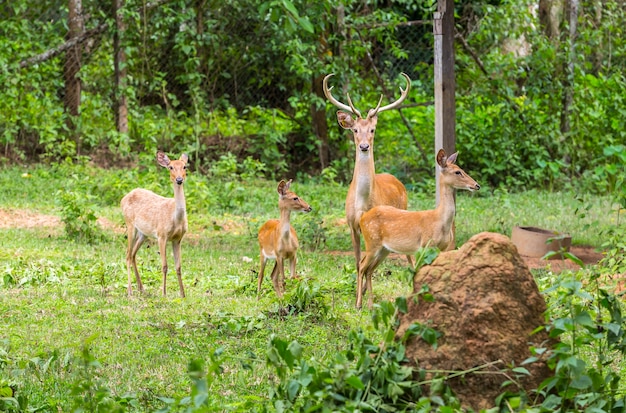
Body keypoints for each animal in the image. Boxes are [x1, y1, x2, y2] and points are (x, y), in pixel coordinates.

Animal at [119, 150, 188, 296]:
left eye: (185, 166)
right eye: (170, 167)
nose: (179, 180)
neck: (175, 218)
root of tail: (123, 198)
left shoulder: (178, 239)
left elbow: (178, 267)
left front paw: (183, 294)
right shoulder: (161, 235)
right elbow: (164, 266)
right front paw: (164, 293)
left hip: (143, 233)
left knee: (133, 254)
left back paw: (142, 288)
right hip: (130, 224)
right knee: (127, 254)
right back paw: (130, 291)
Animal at [322, 72, 414, 274]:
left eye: (372, 129)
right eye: (355, 130)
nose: (364, 146)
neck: (362, 203)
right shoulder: (351, 224)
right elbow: (358, 263)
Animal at [354, 150, 480, 308]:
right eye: (458, 172)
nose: (476, 185)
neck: (440, 221)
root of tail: (362, 217)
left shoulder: (442, 248)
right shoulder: (425, 245)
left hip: (384, 249)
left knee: (369, 270)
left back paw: (371, 305)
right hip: (372, 242)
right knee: (361, 265)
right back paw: (358, 304)